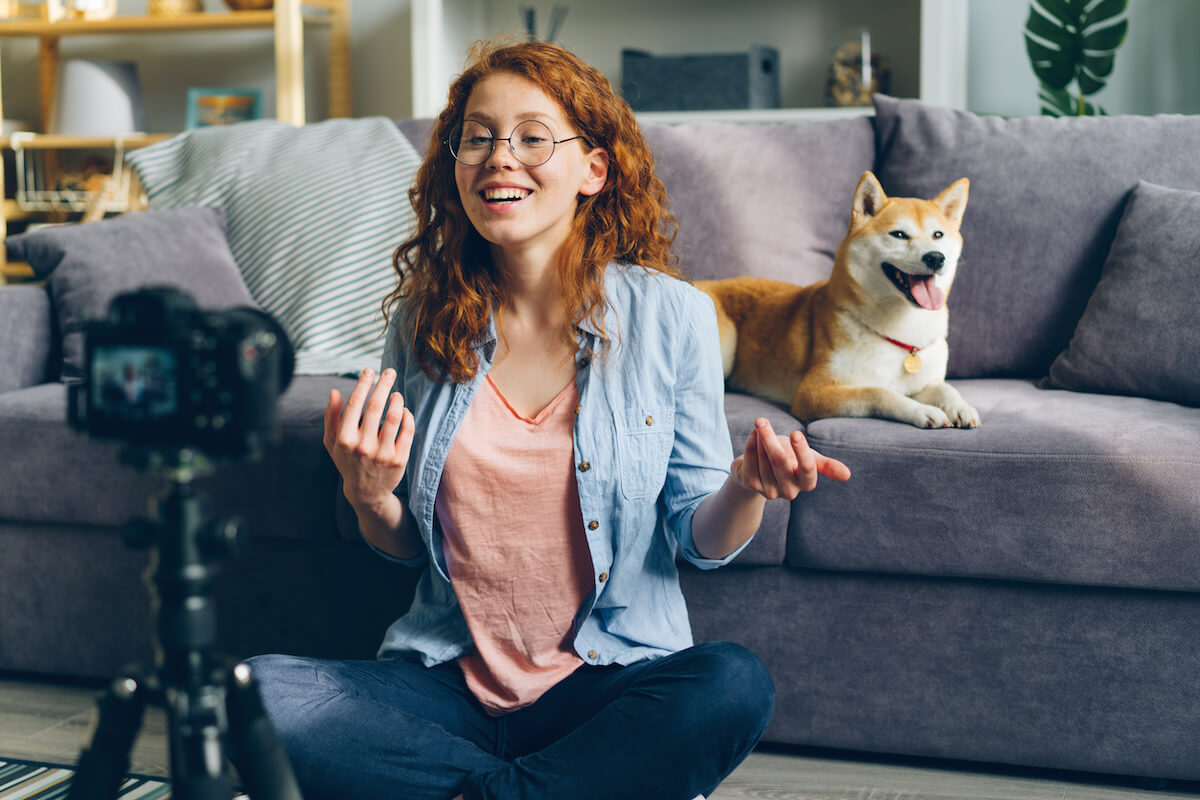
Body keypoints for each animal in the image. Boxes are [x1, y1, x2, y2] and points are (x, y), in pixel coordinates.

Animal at [700, 171, 979, 429]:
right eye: (899, 235)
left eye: (938, 235)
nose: (936, 257)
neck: (903, 336)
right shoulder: (813, 392)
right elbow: (879, 391)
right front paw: (922, 411)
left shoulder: (925, 381)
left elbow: (944, 388)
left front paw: (960, 406)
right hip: (726, 345)